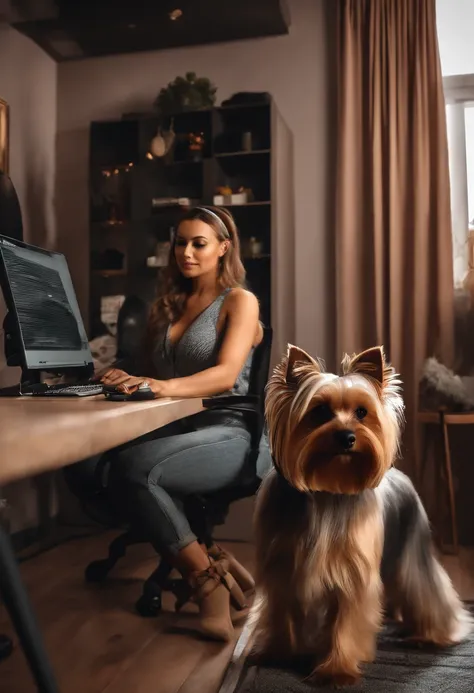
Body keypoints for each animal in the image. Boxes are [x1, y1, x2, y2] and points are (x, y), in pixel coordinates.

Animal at [252, 346, 470, 688]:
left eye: (362, 412)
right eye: (320, 411)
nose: (346, 437)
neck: (328, 491)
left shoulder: (351, 572)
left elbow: (345, 622)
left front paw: (336, 669)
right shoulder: (282, 567)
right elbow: (279, 612)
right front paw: (277, 652)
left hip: (412, 550)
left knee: (427, 589)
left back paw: (432, 635)